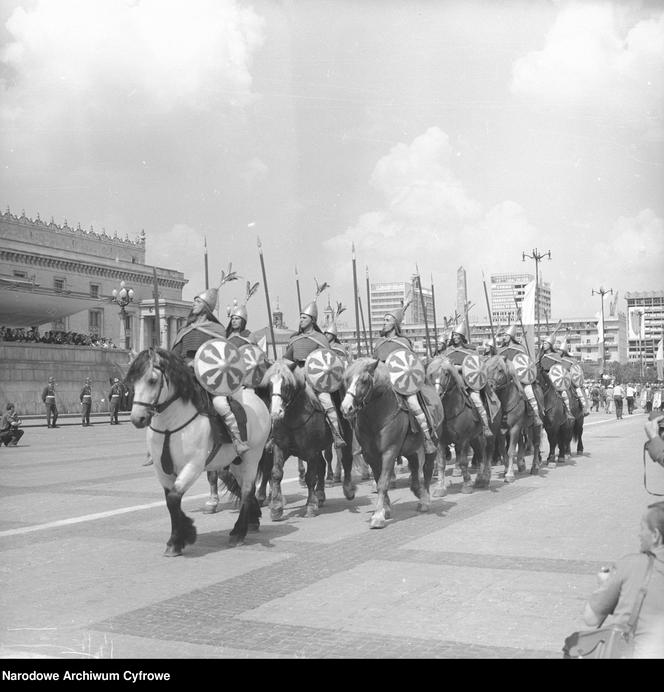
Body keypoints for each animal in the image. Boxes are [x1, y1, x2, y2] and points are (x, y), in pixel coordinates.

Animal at [124, 348, 270, 556]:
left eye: (152, 380)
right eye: (132, 381)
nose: (137, 419)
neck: (170, 426)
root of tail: (256, 399)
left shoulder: (192, 466)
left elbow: (174, 498)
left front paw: (181, 537)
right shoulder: (162, 471)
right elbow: (170, 501)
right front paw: (176, 541)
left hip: (252, 457)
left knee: (247, 489)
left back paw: (238, 533)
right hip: (236, 461)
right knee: (243, 488)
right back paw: (252, 521)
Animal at [258, 362, 356, 520]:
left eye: (287, 385)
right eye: (270, 385)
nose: (275, 413)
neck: (294, 418)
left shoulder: (310, 451)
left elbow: (310, 478)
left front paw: (310, 506)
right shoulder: (280, 447)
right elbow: (276, 473)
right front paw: (276, 508)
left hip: (346, 435)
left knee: (346, 459)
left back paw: (348, 490)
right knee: (322, 466)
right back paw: (320, 496)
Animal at [340, 360, 444, 528]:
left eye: (364, 380)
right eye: (347, 380)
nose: (346, 408)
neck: (376, 417)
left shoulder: (390, 452)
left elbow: (383, 482)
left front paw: (378, 516)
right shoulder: (370, 455)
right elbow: (378, 480)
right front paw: (385, 509)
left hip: (432, 445)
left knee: (427, 469)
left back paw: (424, 501)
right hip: (411, 450)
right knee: (415, 468)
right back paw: (418, 491)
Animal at [426, 356, 492, 498]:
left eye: (446, 373)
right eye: (431, 374)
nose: (438, 394)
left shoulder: (463, 440)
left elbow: (463, 462)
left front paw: (466, 485)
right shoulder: (441, 442)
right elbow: (441, 463)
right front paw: (440, 488)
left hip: (487, 435)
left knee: (487, 453)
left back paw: (485, 478)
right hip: (475, 438)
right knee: (480, 454)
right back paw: (479, 479)